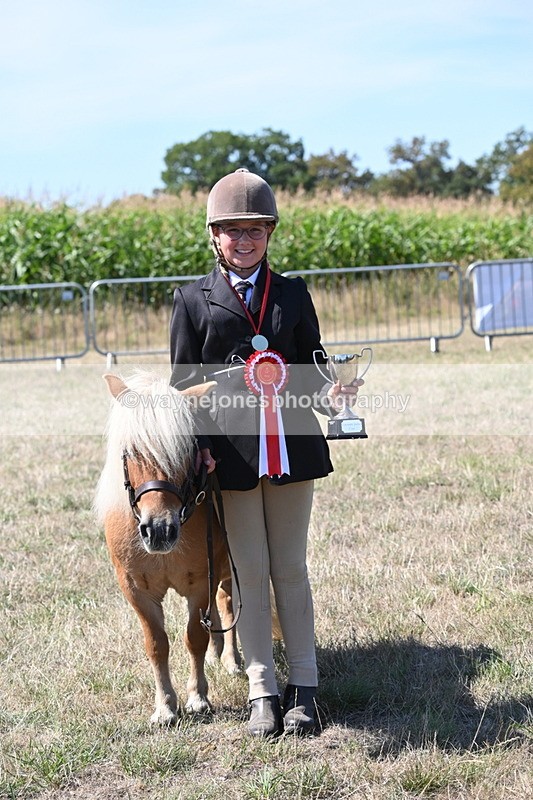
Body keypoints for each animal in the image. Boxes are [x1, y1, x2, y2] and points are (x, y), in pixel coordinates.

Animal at [94, 371, 240, 726]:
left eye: (185, 450)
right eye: (130, 452)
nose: (159, 530)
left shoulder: (200, 582)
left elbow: (194, 637)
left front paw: (198, 698)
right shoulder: (136, 590)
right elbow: (157, 644)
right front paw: (165, 707)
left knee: (227, 603)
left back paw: (231, 659)